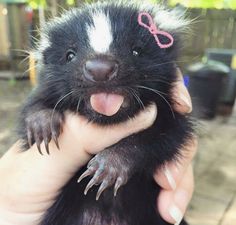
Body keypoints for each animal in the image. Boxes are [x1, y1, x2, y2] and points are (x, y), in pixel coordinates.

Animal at [18, 1, 193, 225]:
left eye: (136, 51)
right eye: (70, 55)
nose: (100, 69)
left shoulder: (172, 108)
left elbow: (167, 134)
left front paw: (109, 165)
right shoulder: (47, 88)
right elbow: (35, 104)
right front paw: (42, 123)